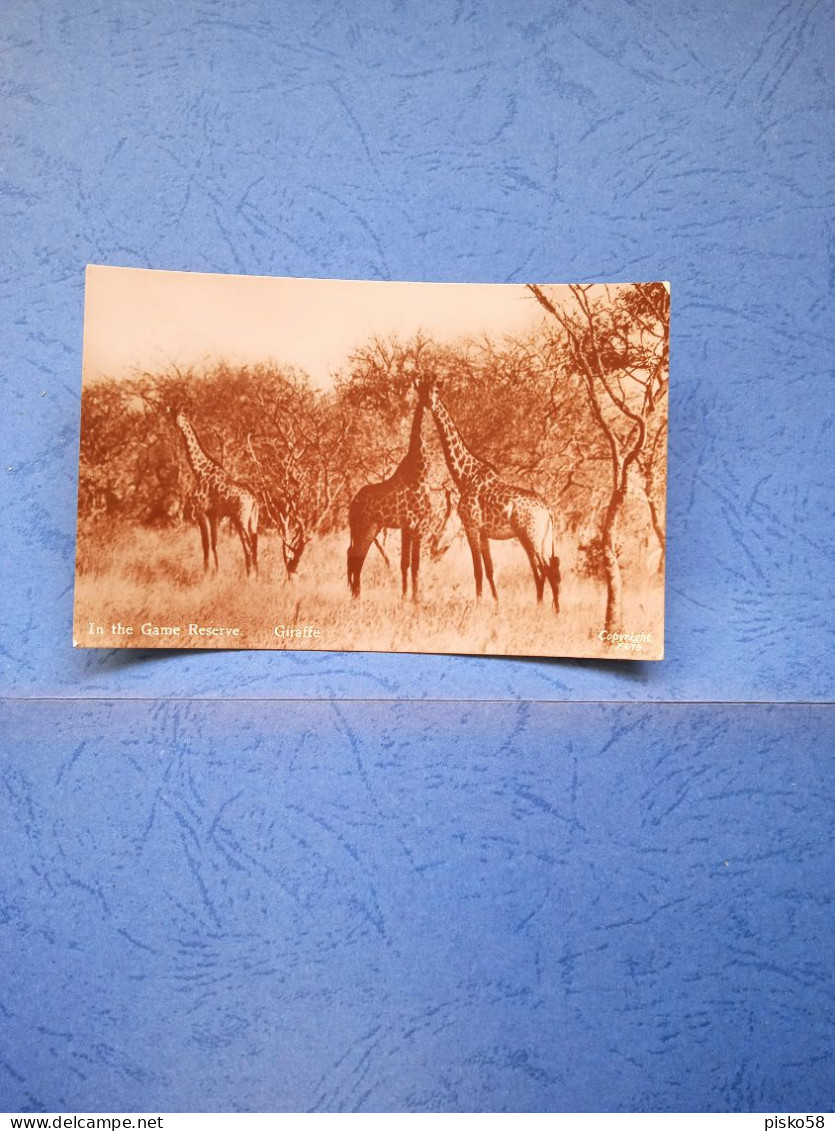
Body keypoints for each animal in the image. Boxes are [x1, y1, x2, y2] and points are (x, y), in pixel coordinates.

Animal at [171, 411, 256, 579]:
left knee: (249, 545)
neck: (200, 472)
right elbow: (214, 543)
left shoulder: (200, 512)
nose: (175, 423)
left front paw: (205, 572)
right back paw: (254, 574)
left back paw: (250, 576)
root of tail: (254, 500)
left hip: (241, 520)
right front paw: (216, 572)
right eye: (172, 413)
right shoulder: (213, 515)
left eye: (181, 415)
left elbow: (205, 543)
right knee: (252, 546)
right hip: (250, 521)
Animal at [346, 393, 432, 601]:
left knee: (356, 555)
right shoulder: (409, 524)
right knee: (355, 554)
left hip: (372, 527)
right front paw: (406, 598)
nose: (430, 403)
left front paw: (414, 599)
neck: (419, 472)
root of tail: (352, 504)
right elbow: (406, 563)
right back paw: (356, 595)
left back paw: (356, 594)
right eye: (423, 391)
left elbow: (414, 564)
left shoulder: (418, 526)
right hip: (363, 526)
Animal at [418, 377, 563, 610]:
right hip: (542, 538)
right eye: (422, 390)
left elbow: (477, 570)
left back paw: (549, 610)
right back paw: (545, 607)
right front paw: (495, 603)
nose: (429, 403)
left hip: (531, 536)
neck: (464, 476)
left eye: (436, 391)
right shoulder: (483, 532)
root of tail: (548, 511)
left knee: (545, 569)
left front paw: (477, 604)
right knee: (547, 568)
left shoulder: (471, 526)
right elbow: (489, 569)